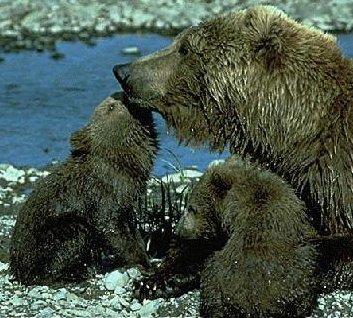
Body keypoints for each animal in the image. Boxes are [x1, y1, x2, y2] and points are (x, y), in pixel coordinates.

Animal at [9, 93, 157, 284]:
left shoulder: (127, 199)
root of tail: (16, 267)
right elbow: (110, 227)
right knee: (73, 236)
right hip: (50, 237)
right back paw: (76, 272)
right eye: (110, 107)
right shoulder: (102, 194)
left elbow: (132, 227)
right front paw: (141, 262)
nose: (121, 94)